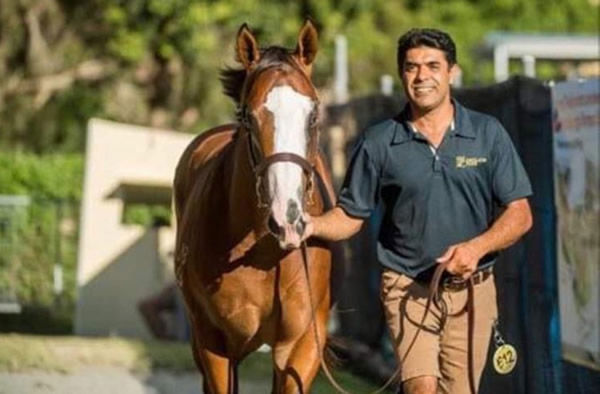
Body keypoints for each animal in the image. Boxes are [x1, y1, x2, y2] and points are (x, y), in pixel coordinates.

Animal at [173, 21, 338, 394]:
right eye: (249, 116)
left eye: (314, 115)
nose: (287, 218)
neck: (264, 256)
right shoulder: (215, 343)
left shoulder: (301, 345)